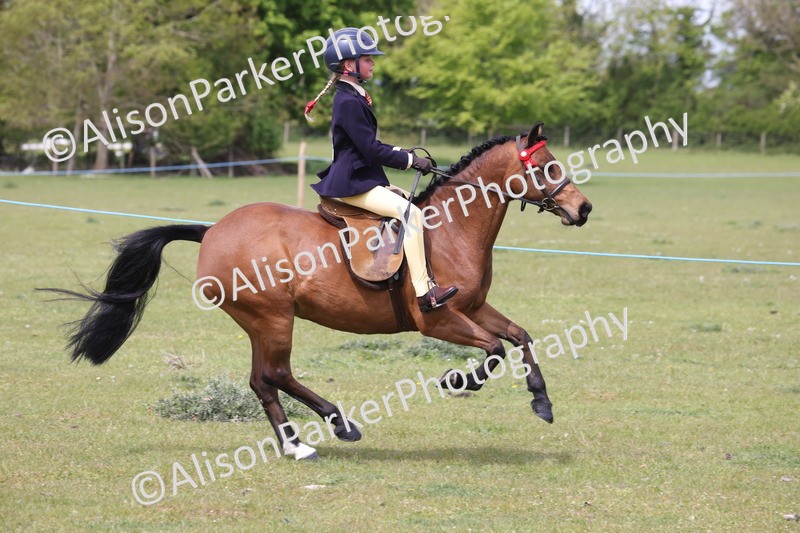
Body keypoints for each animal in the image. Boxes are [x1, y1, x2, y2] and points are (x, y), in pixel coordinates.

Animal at [50, 123, 591, 460]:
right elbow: (495, 349)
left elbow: (519, 336)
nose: (583, 209)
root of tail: (213, 231)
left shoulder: (475, 307)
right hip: (273, 317)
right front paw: (459, 381)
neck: (452, 229)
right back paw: (336, 425)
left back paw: (297, 444)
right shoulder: (437, 318)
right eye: (545, 167)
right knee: (276, 374)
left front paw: (541, 401)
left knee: (262, 380)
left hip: (260, 322)